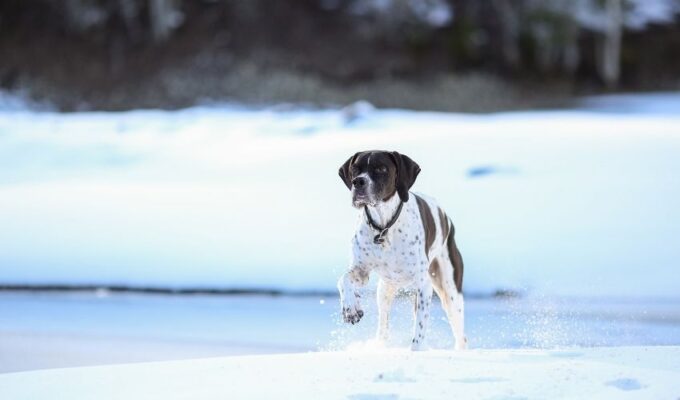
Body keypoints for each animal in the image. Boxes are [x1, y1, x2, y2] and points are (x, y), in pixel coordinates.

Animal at [336, 150, 468, 350]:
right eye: (355, 169)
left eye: (381, 169)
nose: (358, 182)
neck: (384, 227)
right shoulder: (361, 271)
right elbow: (343, 280)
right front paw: (351, 309)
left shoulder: (423, 286)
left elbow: (419, 331)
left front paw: (414, 352)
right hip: (385, 290)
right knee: (383, 326)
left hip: (450, 293)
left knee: (461, 335)